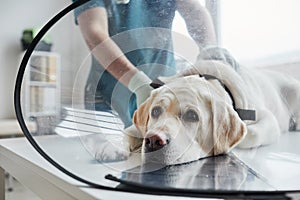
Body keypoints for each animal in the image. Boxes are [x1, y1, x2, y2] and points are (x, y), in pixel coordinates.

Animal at [84, 59, 300, 166]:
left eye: (192, 116)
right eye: (155, 111)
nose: (154, 140)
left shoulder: (266, 118)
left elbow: (251, 133)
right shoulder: (138, 125)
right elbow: (127, 132)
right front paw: (110, 148)